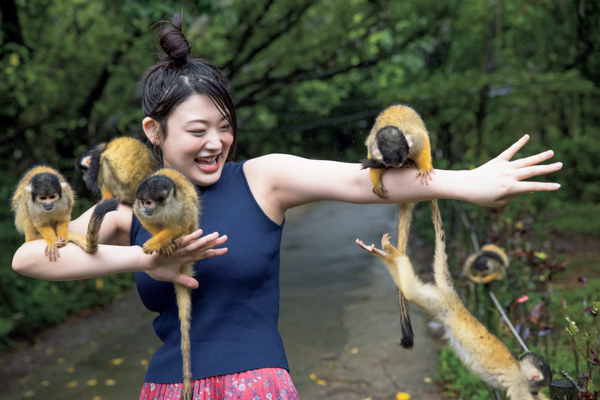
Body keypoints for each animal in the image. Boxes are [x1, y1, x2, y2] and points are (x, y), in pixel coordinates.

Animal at [132, 167, 200, 400]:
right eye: (143, 202)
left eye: (149, 202)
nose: (145, 208)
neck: (163, 209)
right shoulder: (138, 210)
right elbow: (145, 221)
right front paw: (160, 242)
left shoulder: (180, 208)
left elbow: (180, 222)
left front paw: (160, 241)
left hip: (194, 224)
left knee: (191, 215)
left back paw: (178, 239)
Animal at [358, 202, 552, 398]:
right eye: (539, 386)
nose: (537, 391)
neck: (519, 370)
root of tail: (455, 297)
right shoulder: (519, 385)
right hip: (440, 303)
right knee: (410, 289)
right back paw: (396, 255)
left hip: (439, 304)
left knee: (407, 287)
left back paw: (386, 256)